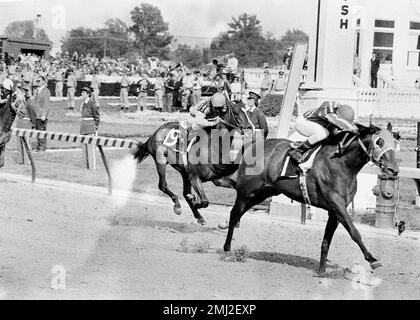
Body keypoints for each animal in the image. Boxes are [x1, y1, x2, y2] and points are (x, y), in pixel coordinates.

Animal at [221, 124, 398, 274]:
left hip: (264, 192)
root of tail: (253, 145)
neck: (342, 163)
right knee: (234, 213)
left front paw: (321, 270)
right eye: (380, 142)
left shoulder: (334, 211)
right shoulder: (337, 205)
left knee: (239, 213)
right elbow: (354, 232)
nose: (393, 170)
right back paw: (227, 248)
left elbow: (327, 240)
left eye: (396, 143)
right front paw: (372, 259)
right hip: (246, 191)